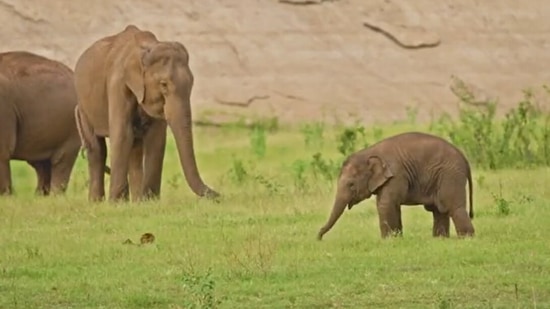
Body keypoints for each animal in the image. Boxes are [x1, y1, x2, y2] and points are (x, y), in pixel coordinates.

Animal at [0, 50, 81, 195]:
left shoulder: (4, 109)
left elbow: (2, 151)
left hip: (72, 126)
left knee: (61, 160)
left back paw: (54, 196)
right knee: (41, 164)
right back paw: (39, 196)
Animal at [74, 24, 221, 202]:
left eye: (192, 83)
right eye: (163, 84)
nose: (219, 195)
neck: (146, 48)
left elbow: (156, 138)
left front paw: (150, 201)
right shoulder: (117, 84)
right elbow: (122, 134)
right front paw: (117, 203)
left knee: (135, 150)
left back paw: (136, 201)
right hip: (84, 107)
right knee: (97, 149)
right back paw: (97, 201)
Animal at [316, 131, 476, 239]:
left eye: (351, 184)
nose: (318, 237)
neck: (370, 152)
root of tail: (465, 158)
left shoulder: (396, 175)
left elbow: (385, 204)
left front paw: (388, 240)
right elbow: (391, 205)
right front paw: (397, 238)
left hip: (450, 175)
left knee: (454, 207)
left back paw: (466, 239)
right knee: (438, 210)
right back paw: (440, 239)